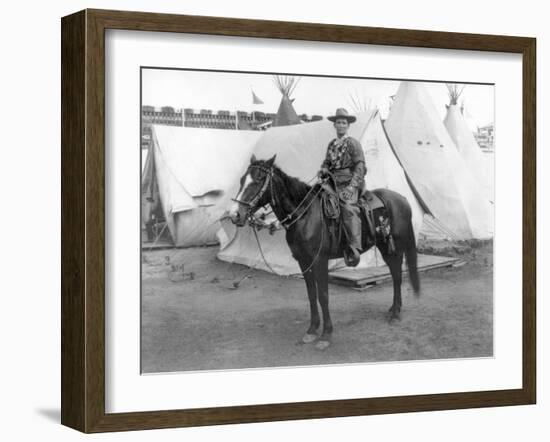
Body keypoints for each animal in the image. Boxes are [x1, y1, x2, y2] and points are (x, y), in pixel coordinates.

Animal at [230, 155, 422, 348]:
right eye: (241, 180)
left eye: (258, 179)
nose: (235, 215)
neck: (304, 214)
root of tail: (402, 199)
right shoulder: (303, 262)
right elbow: (311, 295)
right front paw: (312, 330)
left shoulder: (320, 260)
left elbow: (323, 295)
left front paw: (326, 334)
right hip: (384, 246)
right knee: (395, 273)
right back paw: (393, 309)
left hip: (395, 247)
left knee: (397, 274)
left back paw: (396, 313)